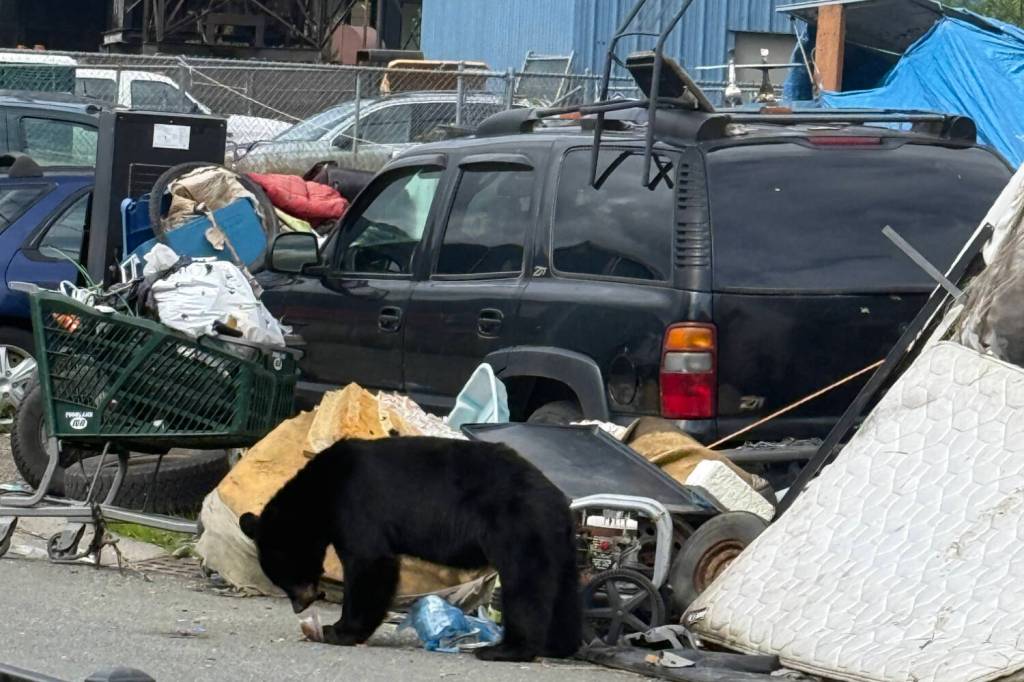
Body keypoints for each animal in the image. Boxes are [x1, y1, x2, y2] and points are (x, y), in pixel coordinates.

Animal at [239, 436, 582, 662]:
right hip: (557, 544)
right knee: (562, 590)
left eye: (284, 575)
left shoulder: (356, 503)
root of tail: (560, 503)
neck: (322, 489)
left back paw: (505, 648)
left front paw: (338, 630)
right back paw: (557, 645)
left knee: (525, 584)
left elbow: (370, 563)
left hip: (517, 526)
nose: (301, 605)